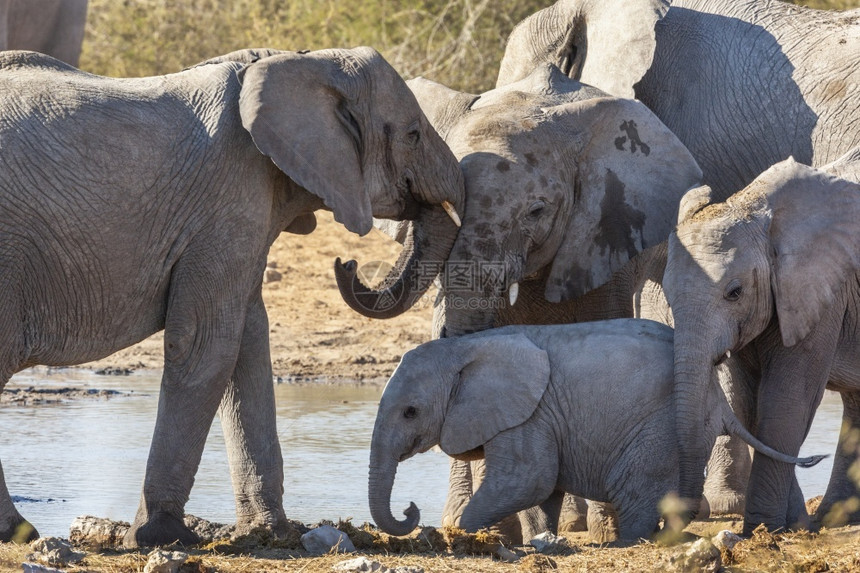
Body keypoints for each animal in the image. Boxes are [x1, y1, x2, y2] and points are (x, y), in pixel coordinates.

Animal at [0, 48, 464, 544]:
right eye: (413, 134)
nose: (348, 264)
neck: (298, 61)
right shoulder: (230, 198)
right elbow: (207, 344)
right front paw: (161, 536)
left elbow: (249, 341)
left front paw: (274, 533)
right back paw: (20, 532)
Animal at [366, 320, 824, 544]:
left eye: (410, 412)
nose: (410, 509)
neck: (465, 348)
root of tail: (715, 393)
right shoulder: (539, 416)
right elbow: (542, 490)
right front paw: (540, 539)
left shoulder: (528, 414)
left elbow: (528, 479)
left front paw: (466, 533)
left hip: (658, 427)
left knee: (635, 487)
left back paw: (629, 543)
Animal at [664, 150, 860, 536]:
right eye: (666, 293)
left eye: (734, 292)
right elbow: (748, 402)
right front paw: (792, 526)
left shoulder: (820, 291)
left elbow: (786, 400)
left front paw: (763, 529)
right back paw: (838, 519)